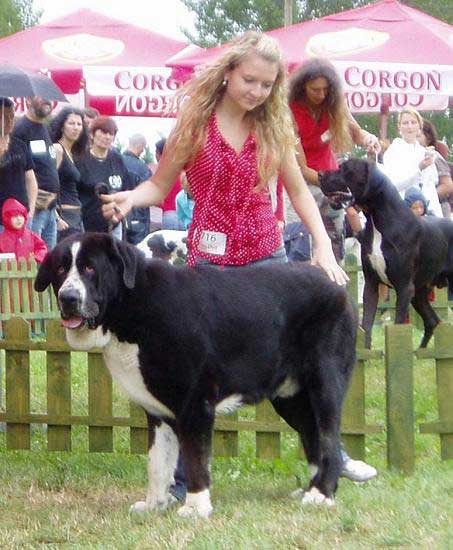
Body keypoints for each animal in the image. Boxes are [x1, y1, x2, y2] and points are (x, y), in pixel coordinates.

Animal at [34, 235, 356, 520]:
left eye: (90, 268)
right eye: (61, 270)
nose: (68, 297)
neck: (133, 305)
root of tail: (337, 287)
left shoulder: (195, 404)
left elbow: (194, 460)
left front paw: (196, 507)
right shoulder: (157, 411)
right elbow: (158, 462)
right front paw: (154, 504)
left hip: (325, 384)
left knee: (328, 439)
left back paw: (321, 494)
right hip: (291, 398)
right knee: (313, 436)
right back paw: (313, 490)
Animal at [320, 158, 452, 350]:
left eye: (345, 169)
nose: (319, 174)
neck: (378, 222)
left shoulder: (404, 287)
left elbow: (398, 325)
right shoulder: (371, 285)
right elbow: (366, 325)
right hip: (419, 292)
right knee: (432, 321)